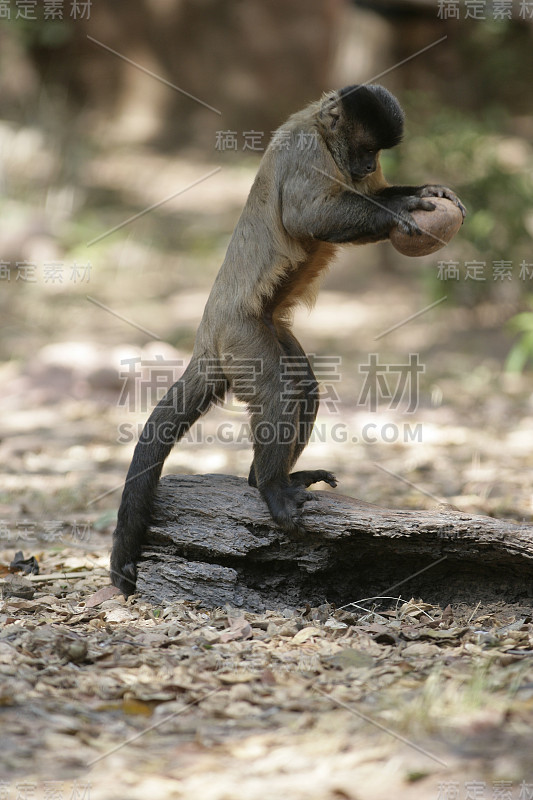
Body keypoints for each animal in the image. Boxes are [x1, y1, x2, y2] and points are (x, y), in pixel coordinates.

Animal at [110, 84, 464, 596]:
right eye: (364, 147)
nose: (364, 164)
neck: (320, 125)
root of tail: (207, 337)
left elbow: (365, 196)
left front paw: (423, 192)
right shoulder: (306, 150)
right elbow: (308, 216)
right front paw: (402, 209)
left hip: (270, 329)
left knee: (305, 390)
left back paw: (262, 479)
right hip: (241, 336)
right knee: (280, 391)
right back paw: (272, 489)